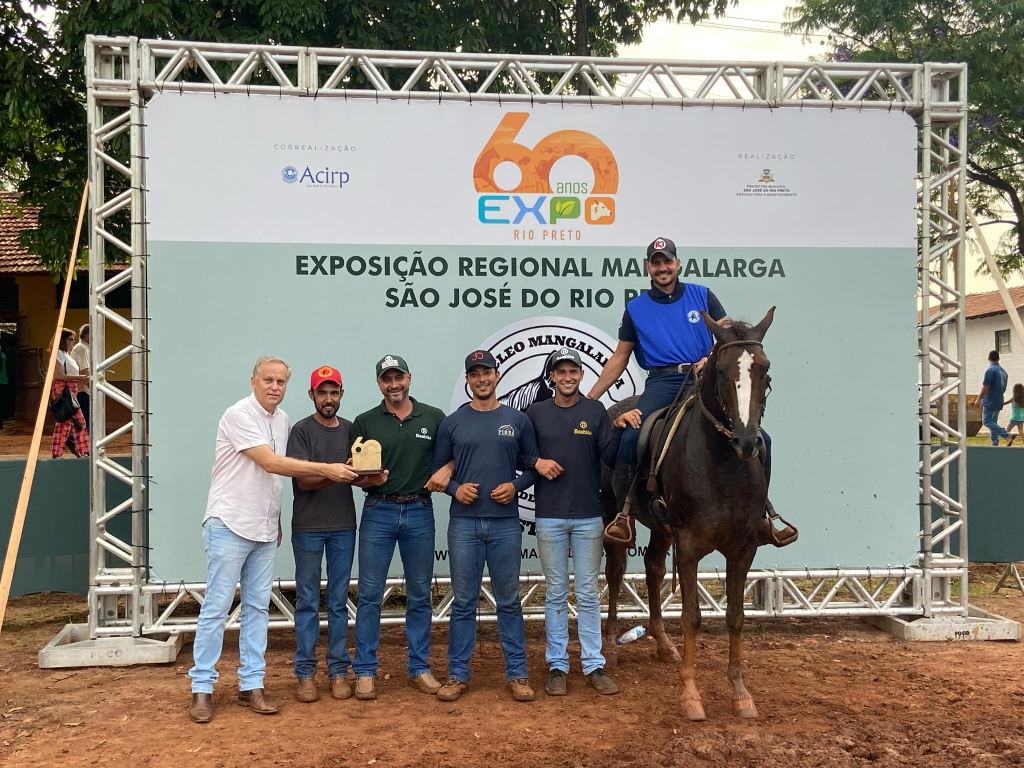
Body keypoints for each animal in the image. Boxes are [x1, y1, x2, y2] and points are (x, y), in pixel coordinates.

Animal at [598, 307, 774, 720]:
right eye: (722, 371)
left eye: (765, 369)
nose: (747, 441)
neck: (723, 464)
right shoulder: (691, 544)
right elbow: (692, 617)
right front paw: (691, 696)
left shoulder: (744, 548)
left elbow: (735, 617)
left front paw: (741, 693)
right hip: (613, 515)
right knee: (615, 572)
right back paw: (611, 646)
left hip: (662, 528)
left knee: (653, 568)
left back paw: (663, 644)